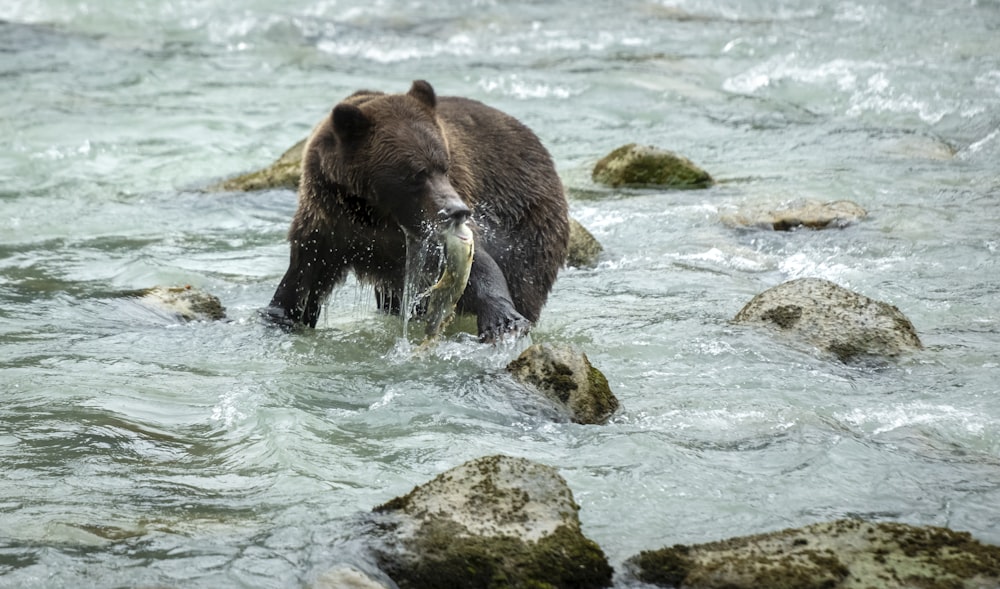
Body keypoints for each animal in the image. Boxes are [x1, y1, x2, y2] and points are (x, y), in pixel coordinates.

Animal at [264, 80, 572, 342]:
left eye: (444, 166)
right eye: (416, 173)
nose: (458, 211)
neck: (376, 214)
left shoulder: (432, 231)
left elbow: (478, 266)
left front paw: (503, 320)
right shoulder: (329, 224)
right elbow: (303, 279)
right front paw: (281, 314)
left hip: (528, 223)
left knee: (524, 278)